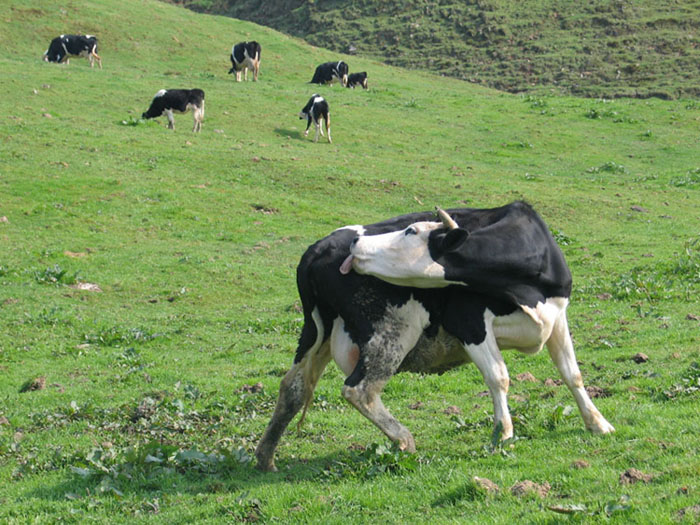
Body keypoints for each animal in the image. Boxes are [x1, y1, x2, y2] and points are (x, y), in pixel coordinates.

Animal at [256, 202, 612, 470]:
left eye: (411, 231)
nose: (357, 244)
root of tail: (317, 248)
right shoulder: (468, 322)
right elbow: (499, 376)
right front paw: (503, 435)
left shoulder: (557, 315)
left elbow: (572, 374)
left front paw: (598, 423)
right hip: (392, 333)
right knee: (360, 389)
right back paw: (403, 439)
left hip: (316, 332)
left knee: (292, 387)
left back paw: (265, 457)